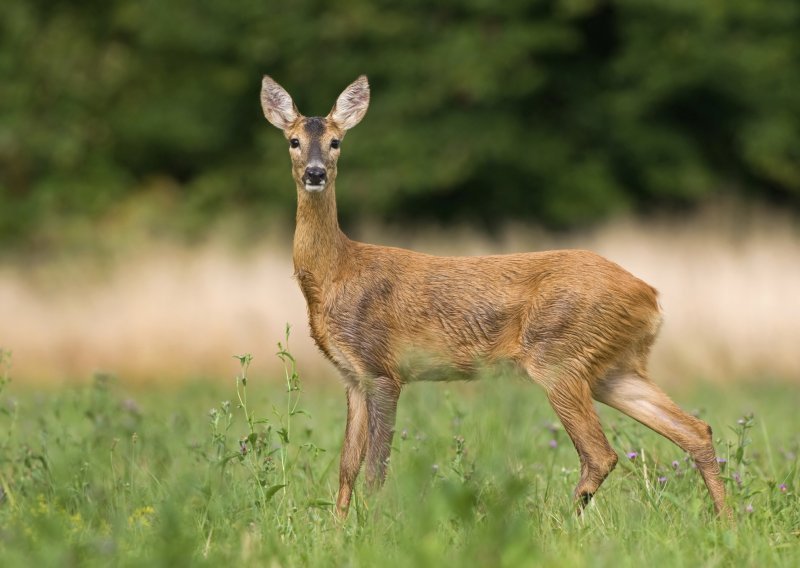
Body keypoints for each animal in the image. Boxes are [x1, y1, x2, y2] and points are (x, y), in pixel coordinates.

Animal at [260, 74, 732, 520]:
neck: (336, 273)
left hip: (558, 355)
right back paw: (726, 520)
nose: (315, 173)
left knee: (601, 453)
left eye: (336, 141)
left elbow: (376, 469)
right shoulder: (351, 377)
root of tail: (651, 296)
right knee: (696, 429)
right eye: (293, 140)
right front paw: (339, 530)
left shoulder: (383, 370)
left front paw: (372, 527)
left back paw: (558, 523)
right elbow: (346, 466)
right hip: (612, 367)